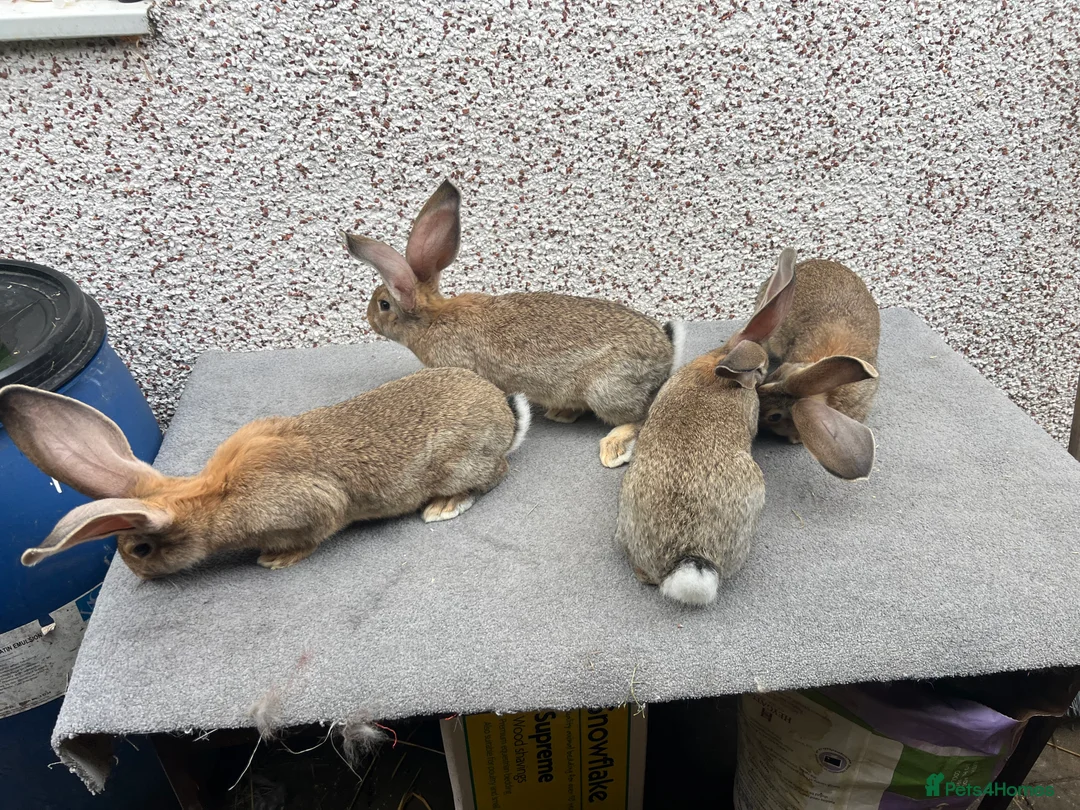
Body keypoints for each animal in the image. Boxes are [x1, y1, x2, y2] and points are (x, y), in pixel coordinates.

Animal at [1, 367, 530, 580]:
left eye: (141, 549)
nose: (138, 575)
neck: (210, 500)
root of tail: (504, 417)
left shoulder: (310, 507)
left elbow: (316, 531)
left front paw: (275, 560)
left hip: (462, 462)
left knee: (495, 475)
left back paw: (443, 507)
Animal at [342, 179, 684, 469]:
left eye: (383, 304)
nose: (368, 318)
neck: (432, 320)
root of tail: (666, 352)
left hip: (607, 390)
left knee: (640, 415)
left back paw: (613, 446)